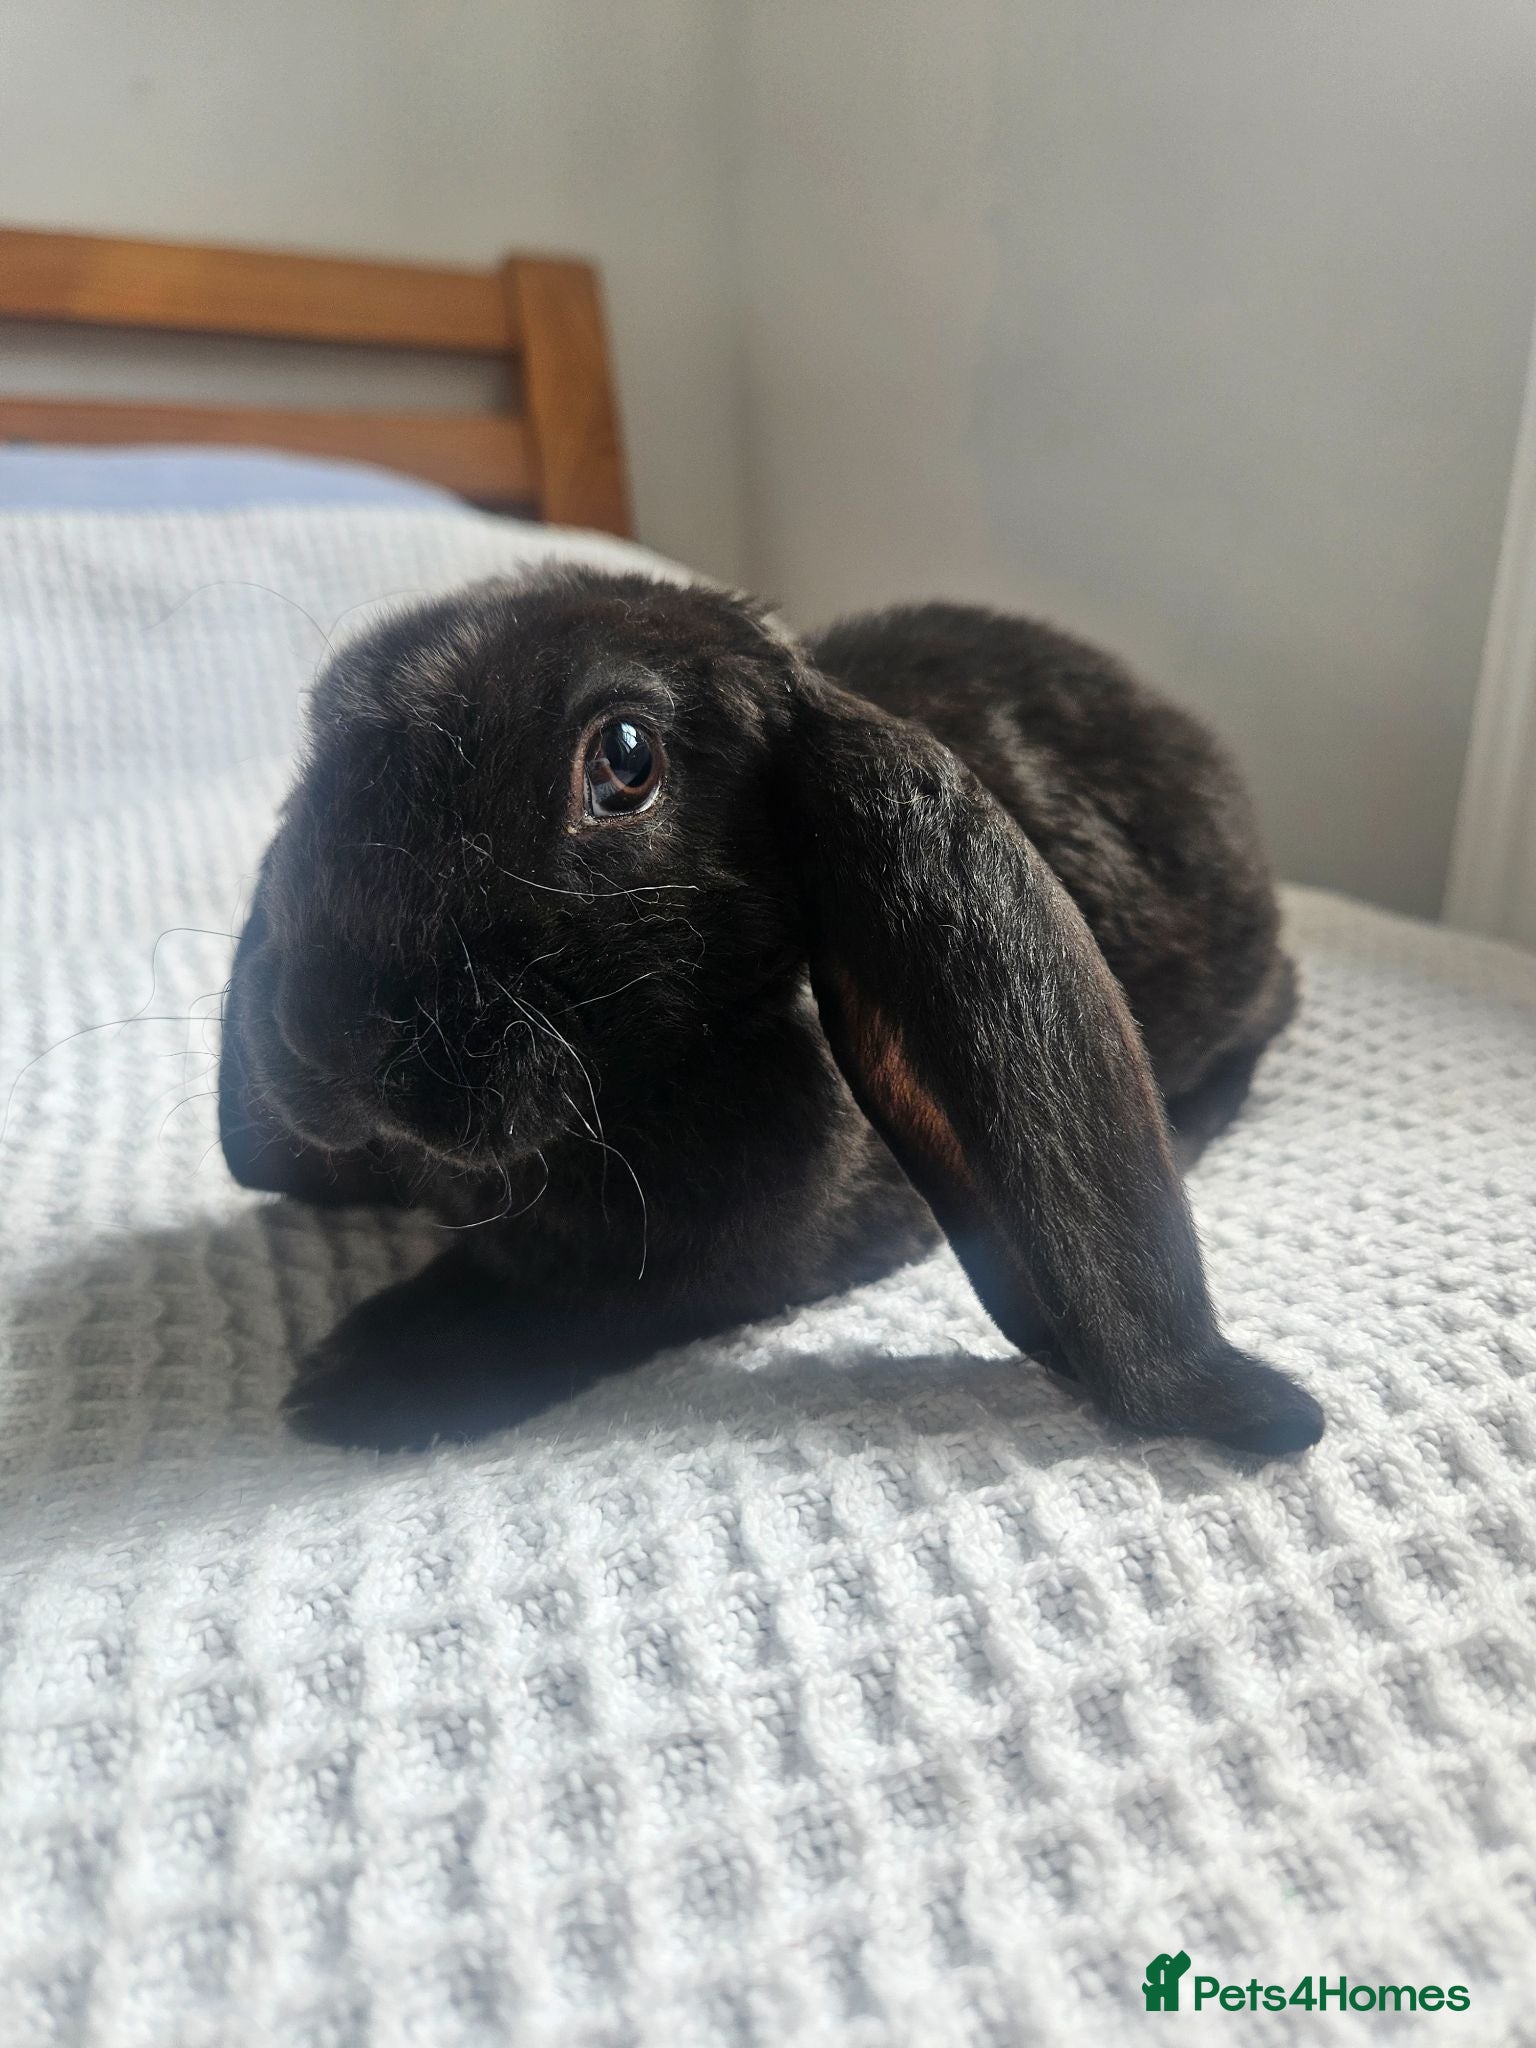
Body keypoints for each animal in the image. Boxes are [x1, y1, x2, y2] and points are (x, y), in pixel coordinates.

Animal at [219, 566, 1322, 1458]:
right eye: (319, 745)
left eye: (626, 760)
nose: (328, 1032)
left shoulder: (710, 1269)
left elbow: (574, 1302)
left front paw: (367, 1383)